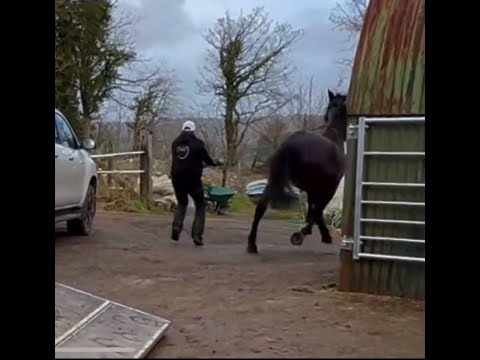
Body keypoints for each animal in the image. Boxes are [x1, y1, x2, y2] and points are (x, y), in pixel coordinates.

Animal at [248, 89, 344, 253]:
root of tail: (290, 143)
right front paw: (308, 233)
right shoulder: (328, 187)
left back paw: (252, 244)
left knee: (261, 205)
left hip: (275, 180)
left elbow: (314, 210)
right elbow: (318, 209)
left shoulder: (314, 190)